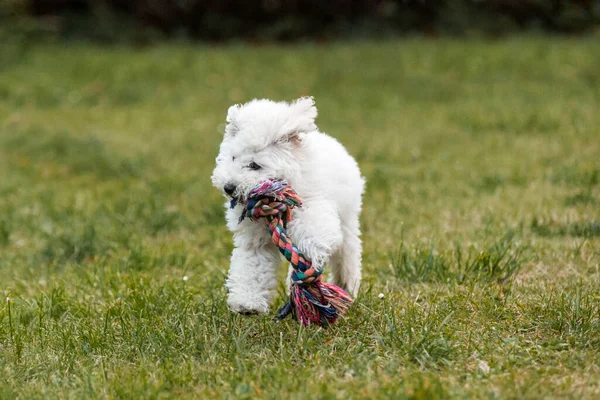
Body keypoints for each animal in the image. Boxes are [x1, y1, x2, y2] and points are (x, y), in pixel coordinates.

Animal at [211, 97, 366, 316]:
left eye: (255, 165)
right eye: (233, 158)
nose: (229, 187)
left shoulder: (313, 206)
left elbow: (313, 233)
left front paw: (311, 251)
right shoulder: (255, 240)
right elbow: (252, 266)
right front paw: (247, 303)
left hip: (348, 218)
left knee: (348, 251)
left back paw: (346, 286)